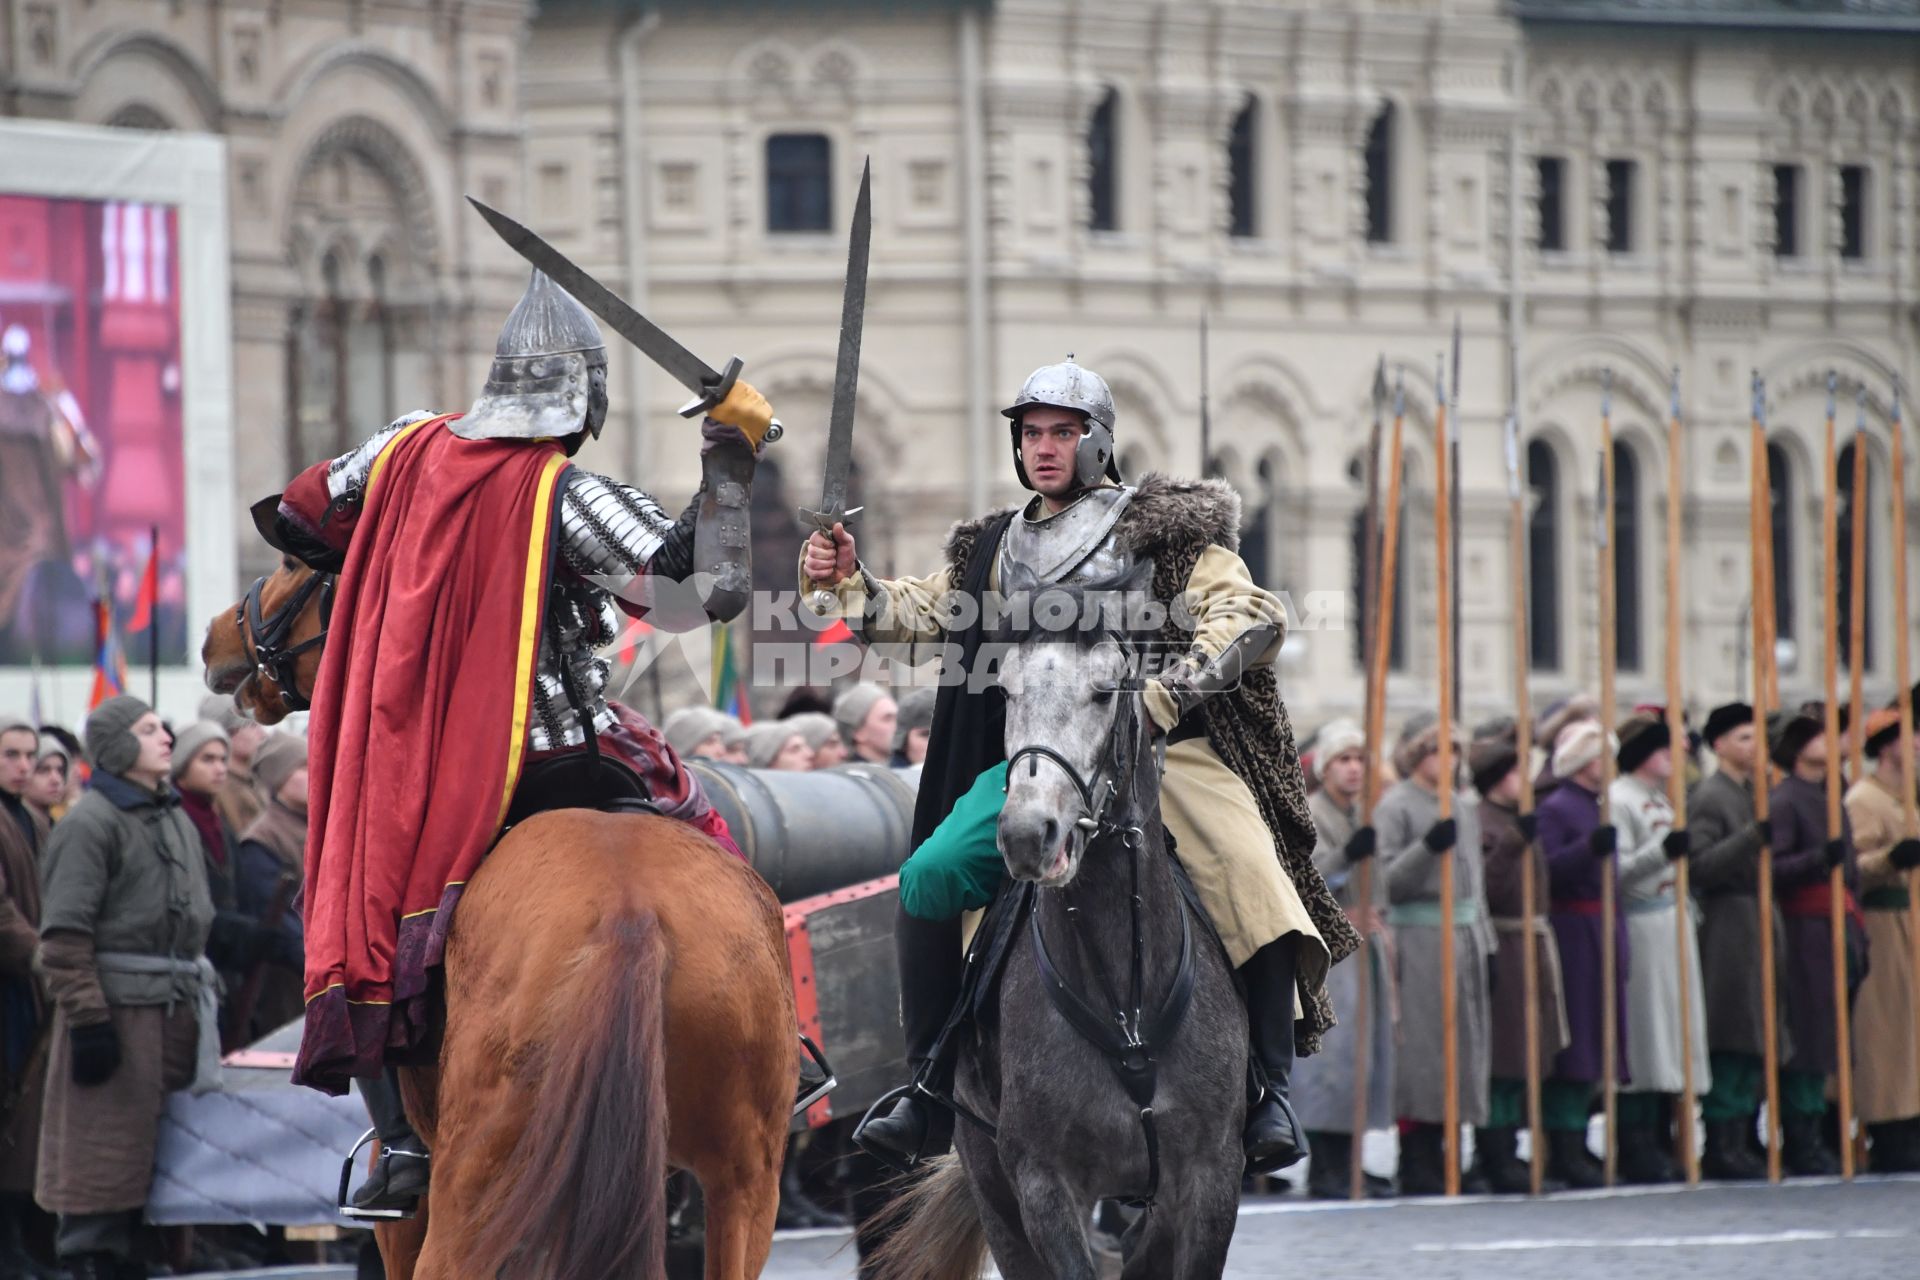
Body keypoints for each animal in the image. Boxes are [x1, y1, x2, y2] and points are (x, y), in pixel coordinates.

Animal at [198, 556, 791, 1274]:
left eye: (291, 566)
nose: (216, 639)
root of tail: (632, 914)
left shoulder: (407, 1223)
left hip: (476, 1186)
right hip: (744, 1186)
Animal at [871, 564, 1244, 1280]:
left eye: (1105, 692)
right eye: (1005, 691)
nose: (1026, 834)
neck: (1125, 1002)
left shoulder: (1210, 1179)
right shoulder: (1043, 1187)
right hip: (993, 1188)